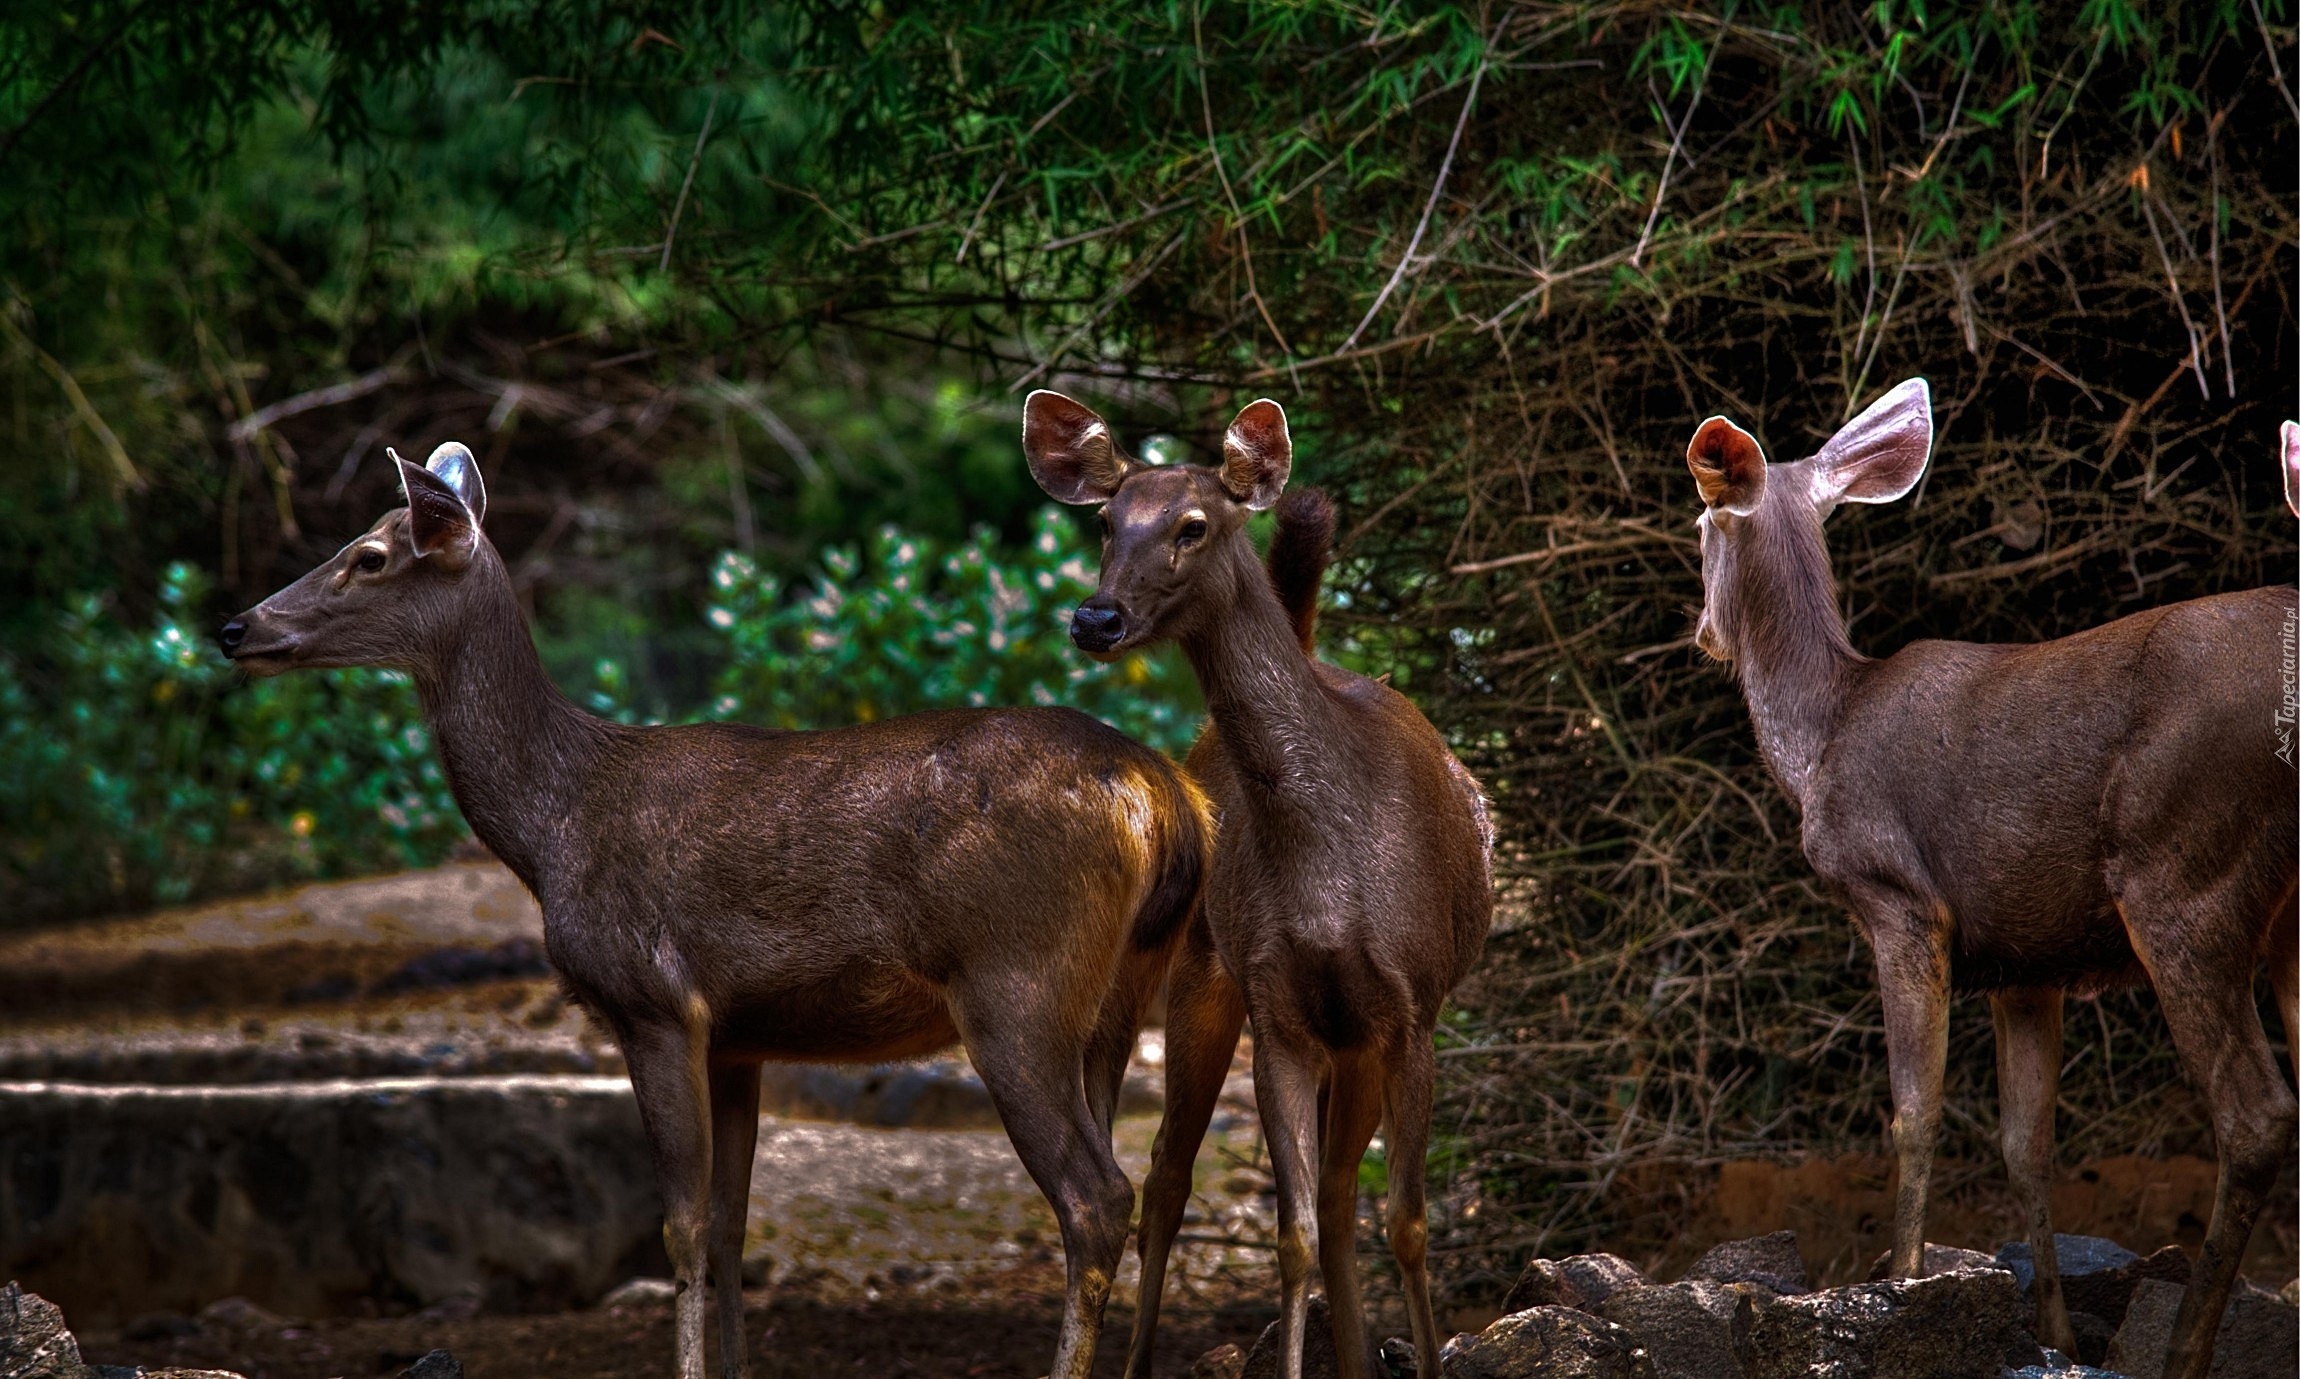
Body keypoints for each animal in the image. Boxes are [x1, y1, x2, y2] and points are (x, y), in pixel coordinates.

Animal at [221, 438, 1214, 1379]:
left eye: (370, 556)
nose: (236, 626)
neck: (554, 824)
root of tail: (1163, 795)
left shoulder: (654, 1001)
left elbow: (683, 1225)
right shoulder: (740, 1036)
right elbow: (734, 1224)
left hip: (1017, 981)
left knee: (1094, 1196)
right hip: (1120, 989)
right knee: (1131, 1174)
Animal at [1021, 390, 1490, 1379]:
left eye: (1194, 525)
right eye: (1107, 521)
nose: (1096, 619)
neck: (1330, 875)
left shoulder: (1414, 1005)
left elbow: (1408, 1222)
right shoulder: (1278, 1009)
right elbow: (1292, 1232)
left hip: (1355, 1036)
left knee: (1346, 1192)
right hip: (1202, 970)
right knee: (1168, 1171)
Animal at [1683, 376, 2290, 1379]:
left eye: (1699, 530)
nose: (1702, 634)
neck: (1821, 739)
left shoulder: (1900, 899)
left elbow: (1914, 1110)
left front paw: (1900, 1283)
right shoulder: (2027, 956)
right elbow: (2025, 1144)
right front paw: (2050, 1332)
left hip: (2182, 868)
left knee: (2256, 1115)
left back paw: (2185, 1348)